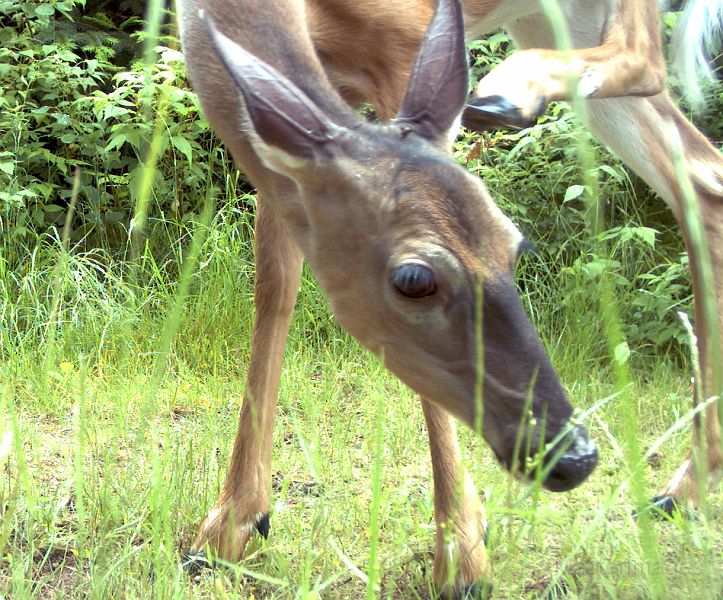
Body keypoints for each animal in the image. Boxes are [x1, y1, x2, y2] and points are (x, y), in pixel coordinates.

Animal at [177, 0, 723, 592]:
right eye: (415, 280)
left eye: (516, 249)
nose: (573, 457)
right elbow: (276, 282)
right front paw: (230, 527)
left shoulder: (403, 43)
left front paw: (464, 556)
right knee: (702, 182)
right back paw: (684, 490)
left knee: (649, 61)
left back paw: (508, 93)